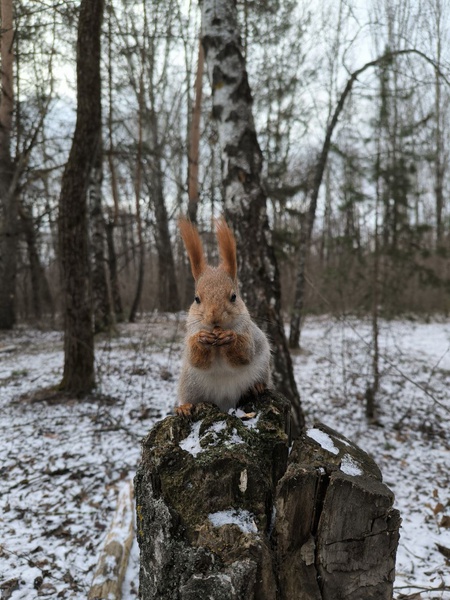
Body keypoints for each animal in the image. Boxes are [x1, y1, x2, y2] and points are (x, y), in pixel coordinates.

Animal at [178, 217, 272, 418]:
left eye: (234, 296)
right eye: (197, 299)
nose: (214, 318)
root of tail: (224, 404)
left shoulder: (248, 333)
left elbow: (245, 352)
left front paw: (230, 338)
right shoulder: (190, 333)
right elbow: (195, 357)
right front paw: (202, 338)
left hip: (262, 369)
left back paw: (257, 387)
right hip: (189, 384)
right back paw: (184, 407)